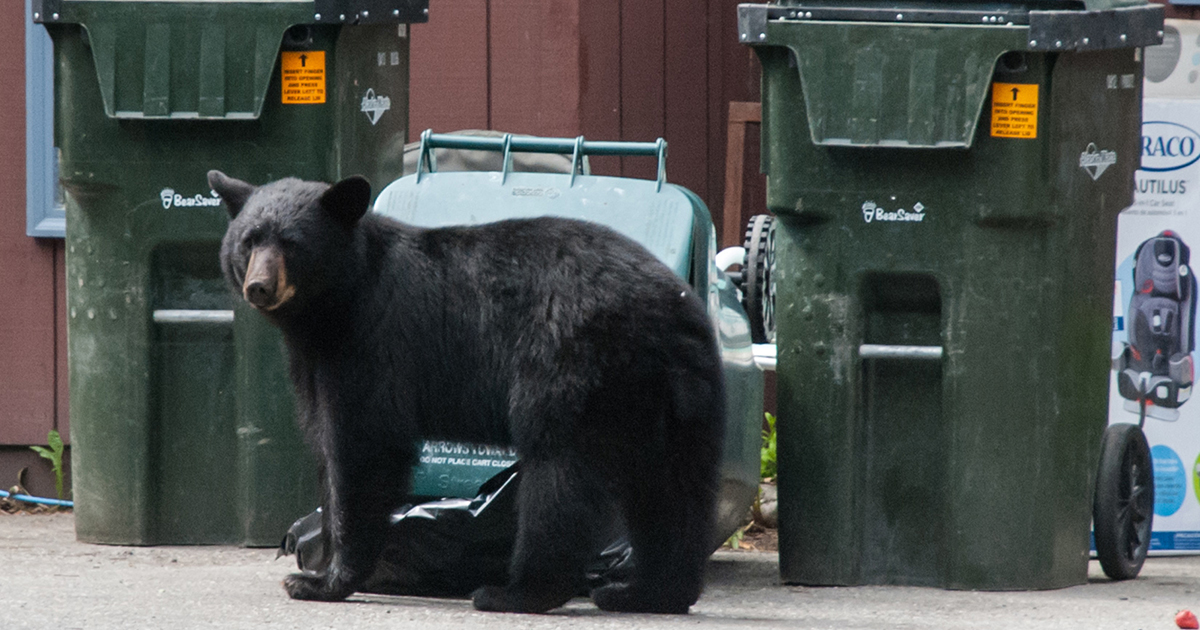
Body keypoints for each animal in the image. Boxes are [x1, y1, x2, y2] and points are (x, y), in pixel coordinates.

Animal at [209, 170, 726, 614]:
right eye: (249, 240)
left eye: (292, 244)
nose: (259, 286)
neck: (335, 304)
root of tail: (672, 307)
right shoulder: (317, 359)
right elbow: (325, 439)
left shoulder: (371, 347)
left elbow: (363, 447)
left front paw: (324, 581)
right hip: (676, 397)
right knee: (674, 488)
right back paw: (650, 592)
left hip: (572, 365)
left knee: (560, 476)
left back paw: (516, 592)